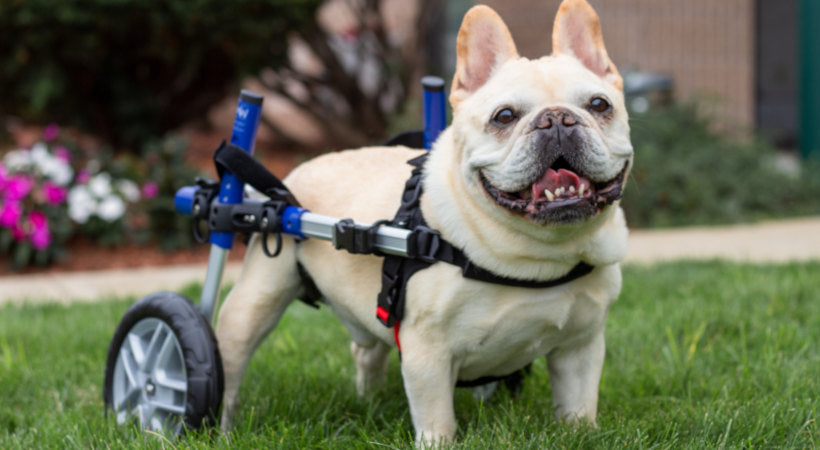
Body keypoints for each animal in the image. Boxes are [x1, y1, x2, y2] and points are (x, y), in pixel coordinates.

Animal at [215, 0, 632, 442]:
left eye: (599, 105)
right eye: (504, 116)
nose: (556, 119)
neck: (539, 255)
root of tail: (291, 181)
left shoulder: (581, 347)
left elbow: (578, 408)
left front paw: (581, 434)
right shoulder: (427, 354)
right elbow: (437, 421)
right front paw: (439, 443)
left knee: (364, 351)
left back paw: (369, 401)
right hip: (255, 301)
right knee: (230, 366)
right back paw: (216, 426)